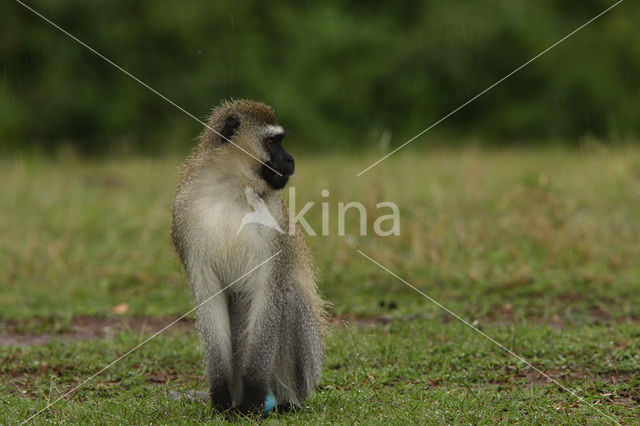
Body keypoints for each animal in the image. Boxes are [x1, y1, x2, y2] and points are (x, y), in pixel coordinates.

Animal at [170, 99, 324, 412]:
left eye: (280, 140)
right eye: (272, 142)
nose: (291, 160)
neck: (232, 189)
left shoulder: (275, 222)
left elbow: (268, 292)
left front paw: (253, 398)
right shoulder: (184, 216)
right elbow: (210, 297)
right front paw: (220, 399)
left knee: (289, 299)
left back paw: (282, 401)